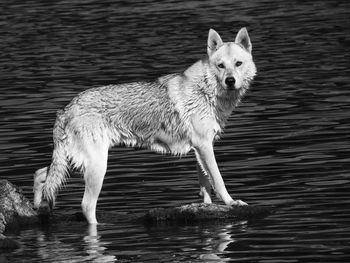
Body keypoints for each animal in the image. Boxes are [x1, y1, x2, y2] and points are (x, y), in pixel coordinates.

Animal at [33, 27, 258, 224]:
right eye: (221, 66)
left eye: (238, 63)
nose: (230, 81)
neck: (207, 90)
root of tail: (66, 108)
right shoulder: (204, 146)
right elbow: (218, 180)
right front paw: (232, 202)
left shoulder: (200, 148)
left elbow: (205, 185)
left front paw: (207, 208)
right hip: (97, 166)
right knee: (86, 206)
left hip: (73, 161)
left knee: (41, 174)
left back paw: (40, 208)